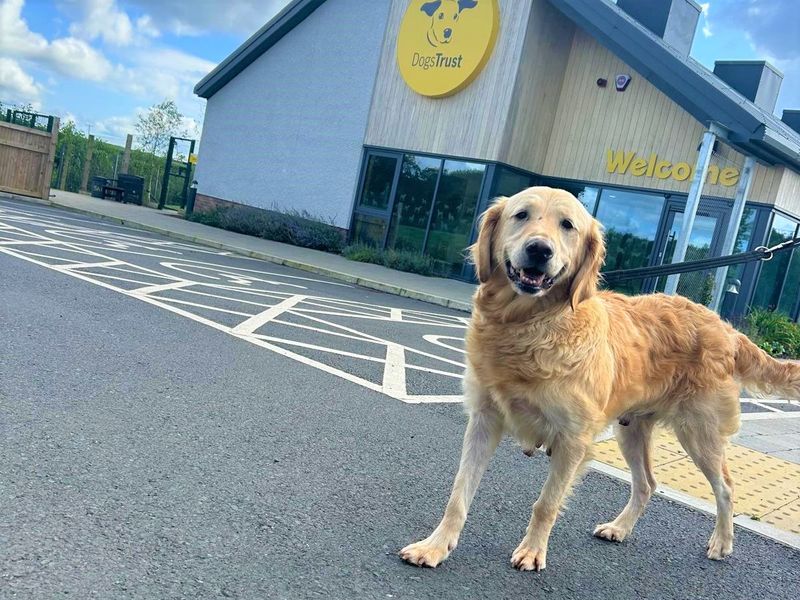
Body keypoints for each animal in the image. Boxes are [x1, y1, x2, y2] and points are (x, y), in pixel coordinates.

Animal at [400, 185, 800, 568]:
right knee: (647, 483)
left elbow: (546, 504)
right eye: (521, 214)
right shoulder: (484, 421)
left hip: (699, 433)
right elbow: (459, 493)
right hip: (632, 431)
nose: (539, 250)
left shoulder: (573, 440)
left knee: (726, 488)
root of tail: (726, 327)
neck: (529, 325)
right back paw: (620, 528)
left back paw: (722, 542)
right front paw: (435, 547)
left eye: (568, 225)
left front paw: (533, 552)